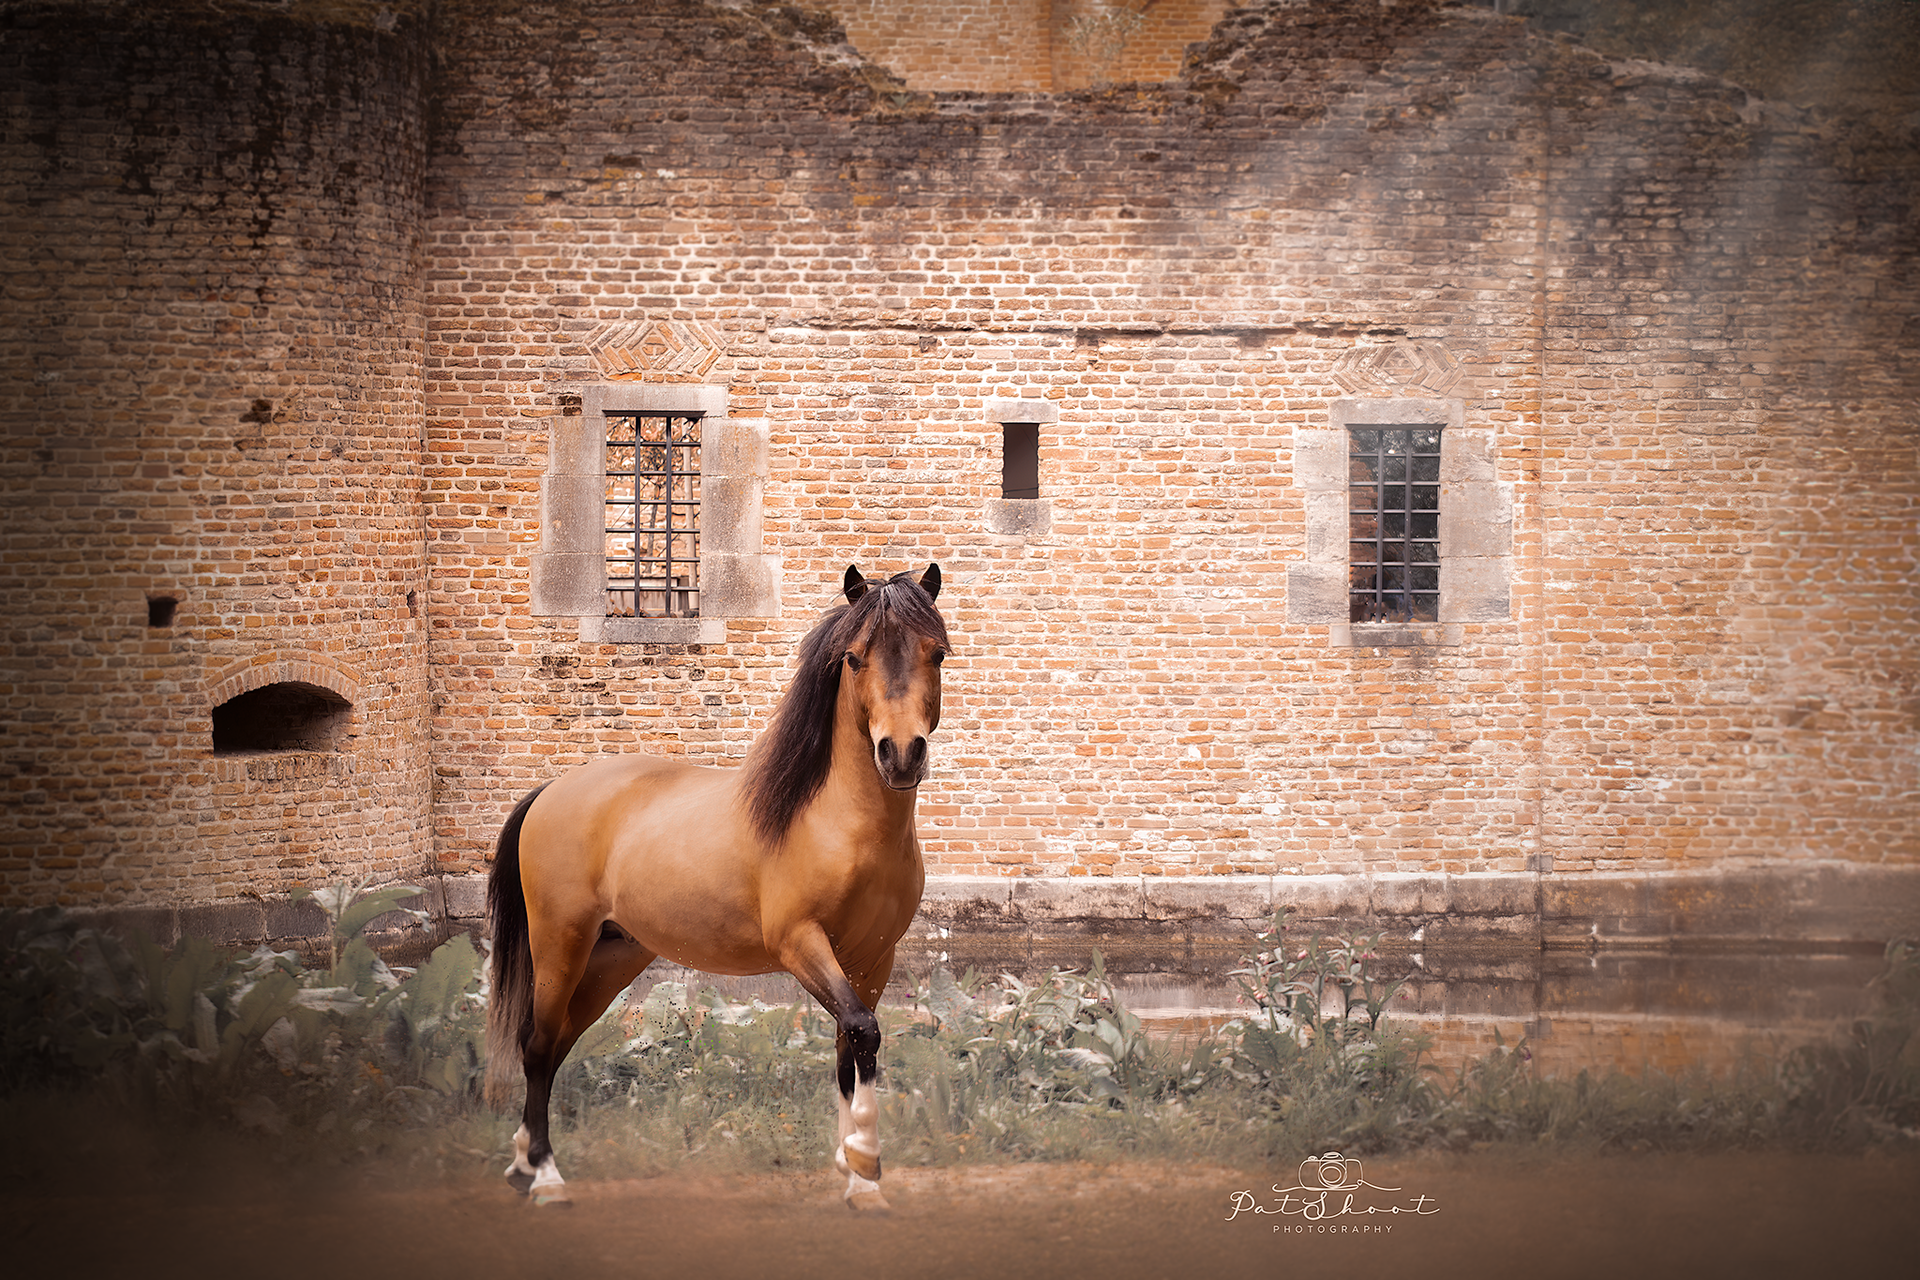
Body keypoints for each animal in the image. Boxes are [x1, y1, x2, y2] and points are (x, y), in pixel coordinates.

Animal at [485, 564, 950, 1212]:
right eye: (855, 658)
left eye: (938, 653)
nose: (901, 754)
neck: (839, 823)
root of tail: (551, 790)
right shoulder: (800, 944)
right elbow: (863, 1031)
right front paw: (863, 1158)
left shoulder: (871, 960)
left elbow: (848, 1049)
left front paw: (858, 1179)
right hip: (560, 945)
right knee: (535, 1046)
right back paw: (546, 1177)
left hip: (611, 958)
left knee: (553, 1048)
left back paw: (522, 1163)